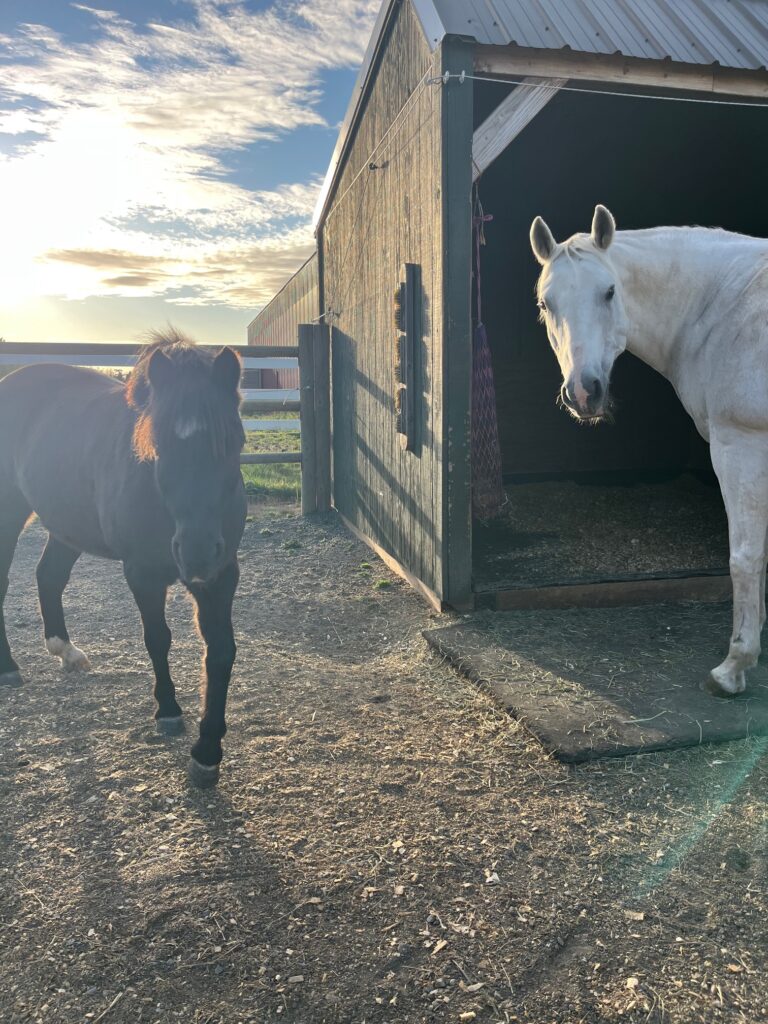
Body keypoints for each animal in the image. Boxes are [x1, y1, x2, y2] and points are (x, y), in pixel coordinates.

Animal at [0, 329, 247, 787]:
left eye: (234, 442)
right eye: (159, 445)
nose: (197, 552)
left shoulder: (222, 575)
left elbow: (221, 650)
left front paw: (207, 752)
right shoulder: (143, 573)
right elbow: (158, 638)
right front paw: (168, 712)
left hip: (67, 521)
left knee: (49, 575)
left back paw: (66, 651)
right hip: (9, 511)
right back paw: (8, 668)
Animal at [530, 205, 768, 698]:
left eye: (609, 291)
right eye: (546, 304)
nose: (584, 392)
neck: (726, 305)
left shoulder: (741, 447)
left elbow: (746, 556)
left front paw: (734, 666)